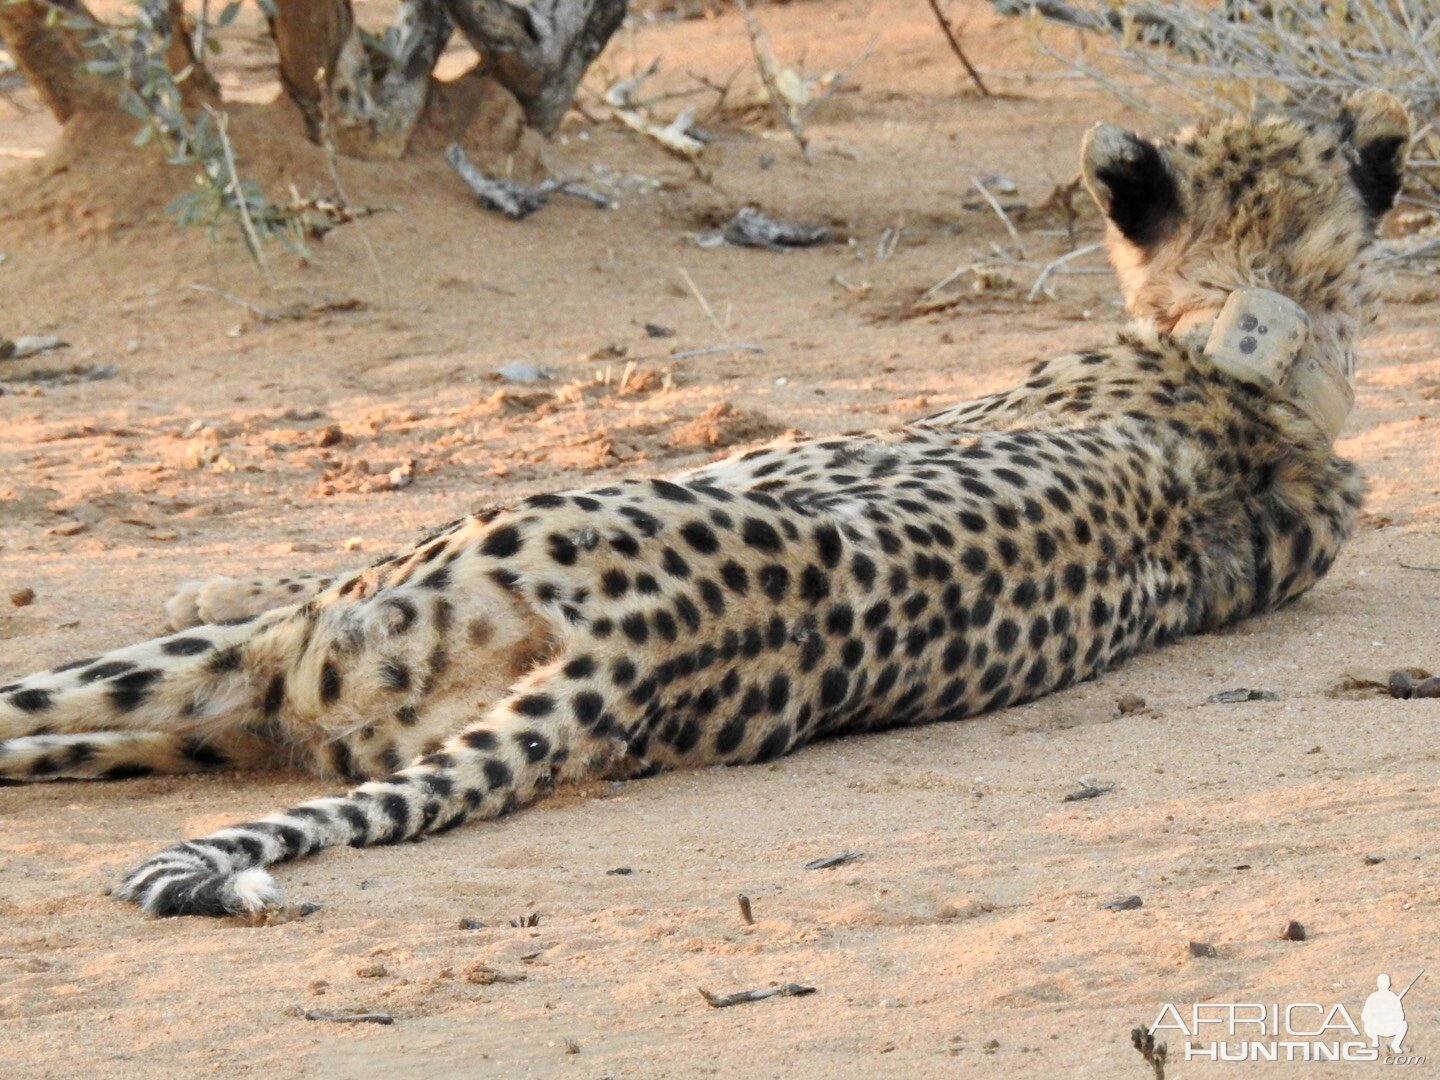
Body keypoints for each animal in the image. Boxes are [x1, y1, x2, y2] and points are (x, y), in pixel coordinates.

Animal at [0, 95, 1411, 921]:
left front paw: (212, 568)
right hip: (274, 712)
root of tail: (630, 660)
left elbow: (270, 572)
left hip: (273, 661)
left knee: (52, 699)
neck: (1266, 336)